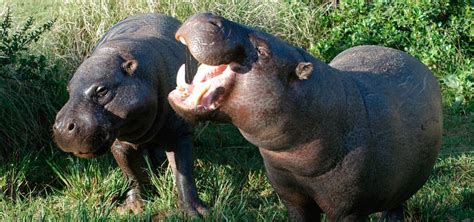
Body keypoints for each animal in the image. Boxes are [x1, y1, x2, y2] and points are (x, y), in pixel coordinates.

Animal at [52, 13, 206, 217]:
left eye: (102, 90)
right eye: (69, 90)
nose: (62, 127)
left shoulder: (180, 133)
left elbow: (184, 175)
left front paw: (196, 213)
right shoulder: (120, 143)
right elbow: (133, 175)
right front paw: (133, 208)